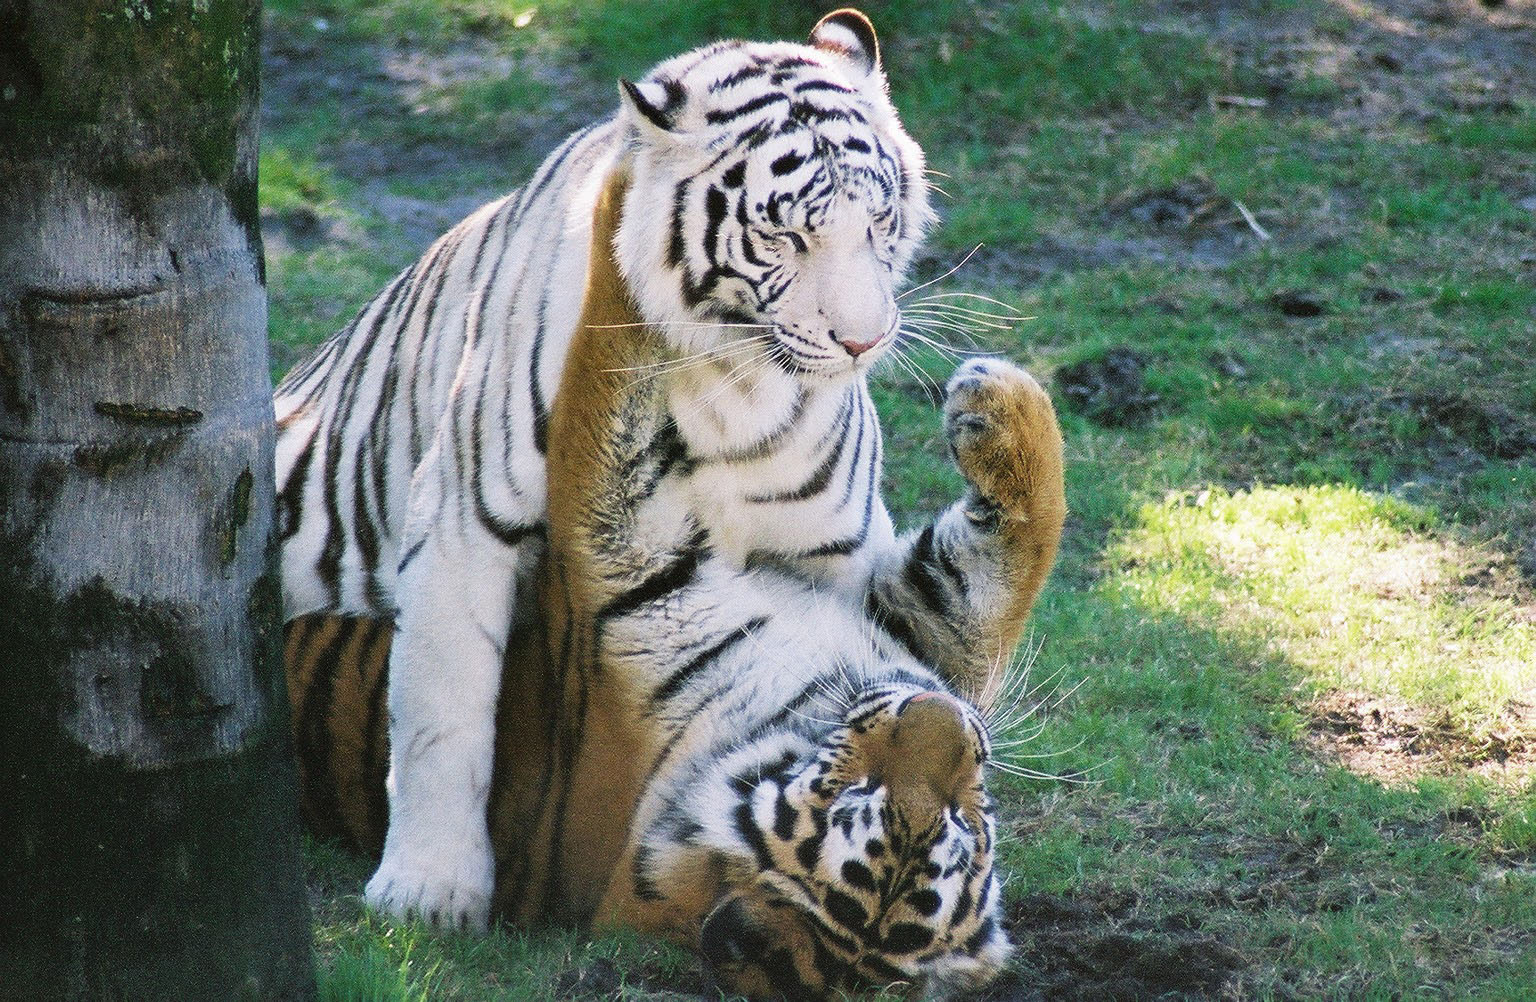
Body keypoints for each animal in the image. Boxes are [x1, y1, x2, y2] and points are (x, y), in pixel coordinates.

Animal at [274, 8, 1045, 935]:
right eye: (786, 232)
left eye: (880, 219)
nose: (863, 341)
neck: (733, 384)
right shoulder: (467, 524)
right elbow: (440, 715)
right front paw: (430, 893)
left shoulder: (826, 561)